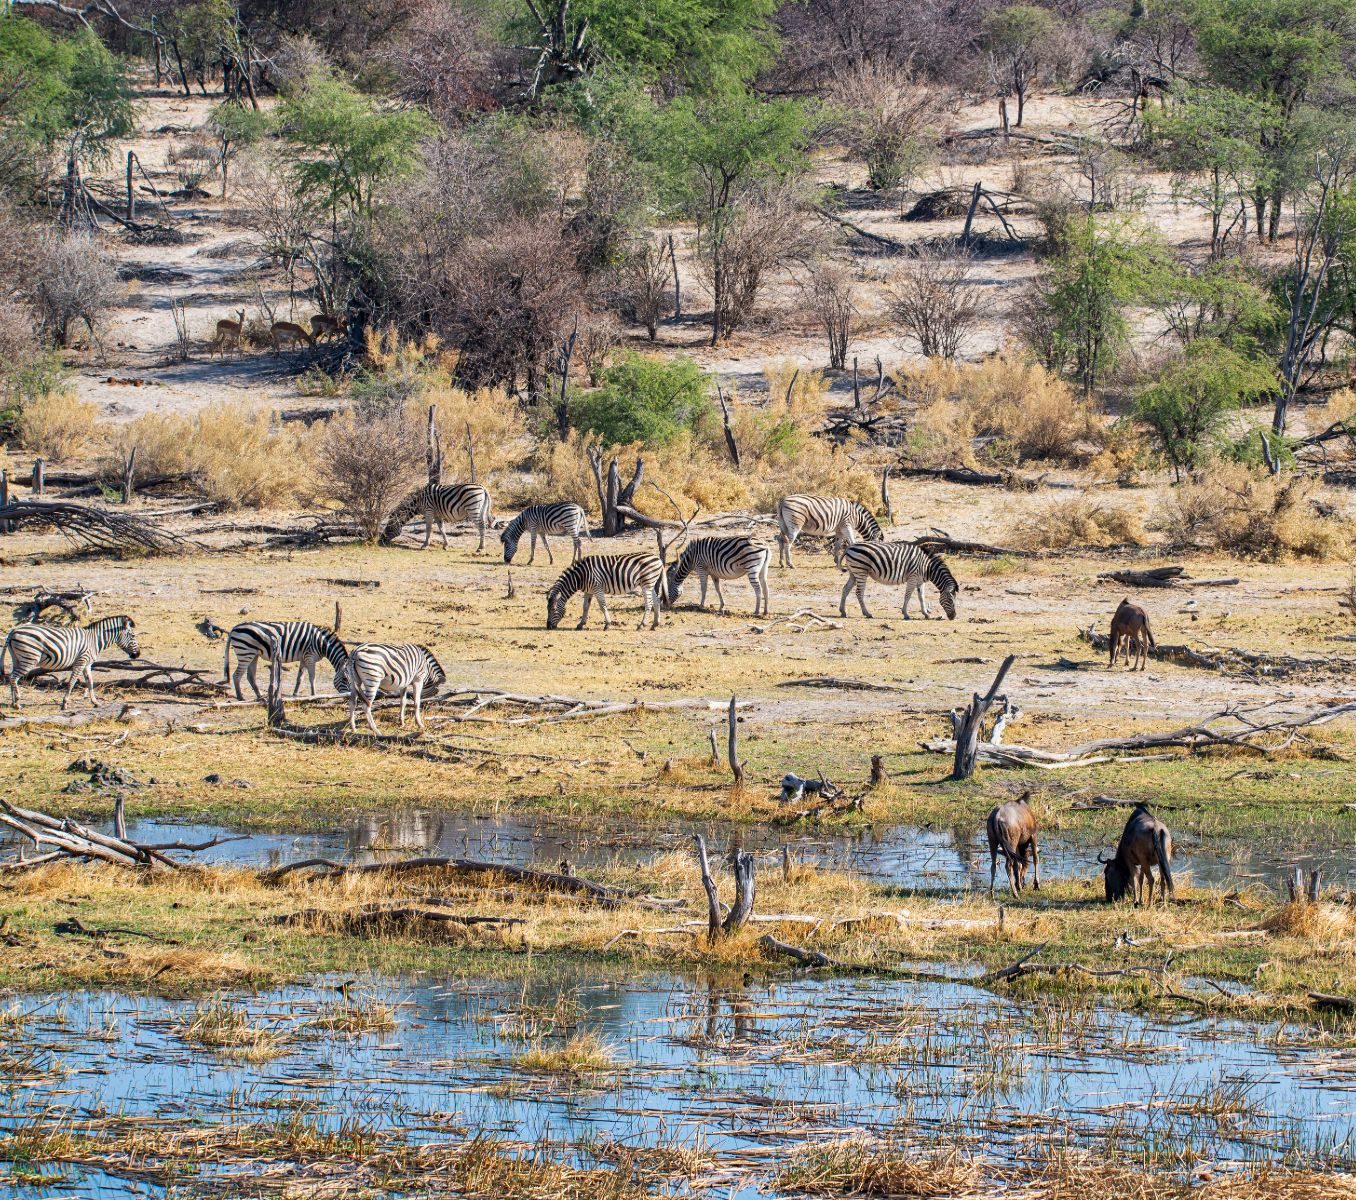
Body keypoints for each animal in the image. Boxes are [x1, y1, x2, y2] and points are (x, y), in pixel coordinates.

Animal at [1, 615, 139, 709]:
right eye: (133, 636)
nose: (138, 654)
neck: (95, 640)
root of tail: (14, 630)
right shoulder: (81, 661)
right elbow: (72, 682)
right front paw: (65, 703)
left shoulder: (87, 664)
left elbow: (90, 682)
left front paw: (95, 702)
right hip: (29, 658)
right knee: (13, 677)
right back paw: (17, 702)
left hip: (17, 658)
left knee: (12, 677)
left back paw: (13, 702)